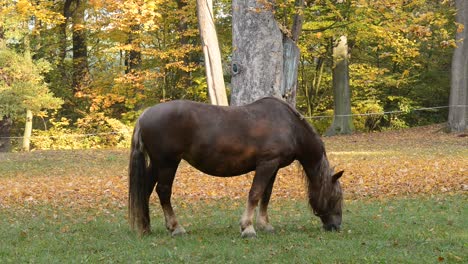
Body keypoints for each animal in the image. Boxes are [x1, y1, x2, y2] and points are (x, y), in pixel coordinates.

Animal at [128, 96, 344, 237]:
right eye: (335, 197)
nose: (336, 226)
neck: (289, 126)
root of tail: (145, 114)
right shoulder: (266, 164)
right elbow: (255, 193)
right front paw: (248, 227)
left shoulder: (273, 167)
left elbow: (266, 195)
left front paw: (265, 225)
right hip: (167, 163)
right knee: (163, 192)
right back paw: (176, 228)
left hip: (157, 165)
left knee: (145, 190)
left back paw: (145, 228)